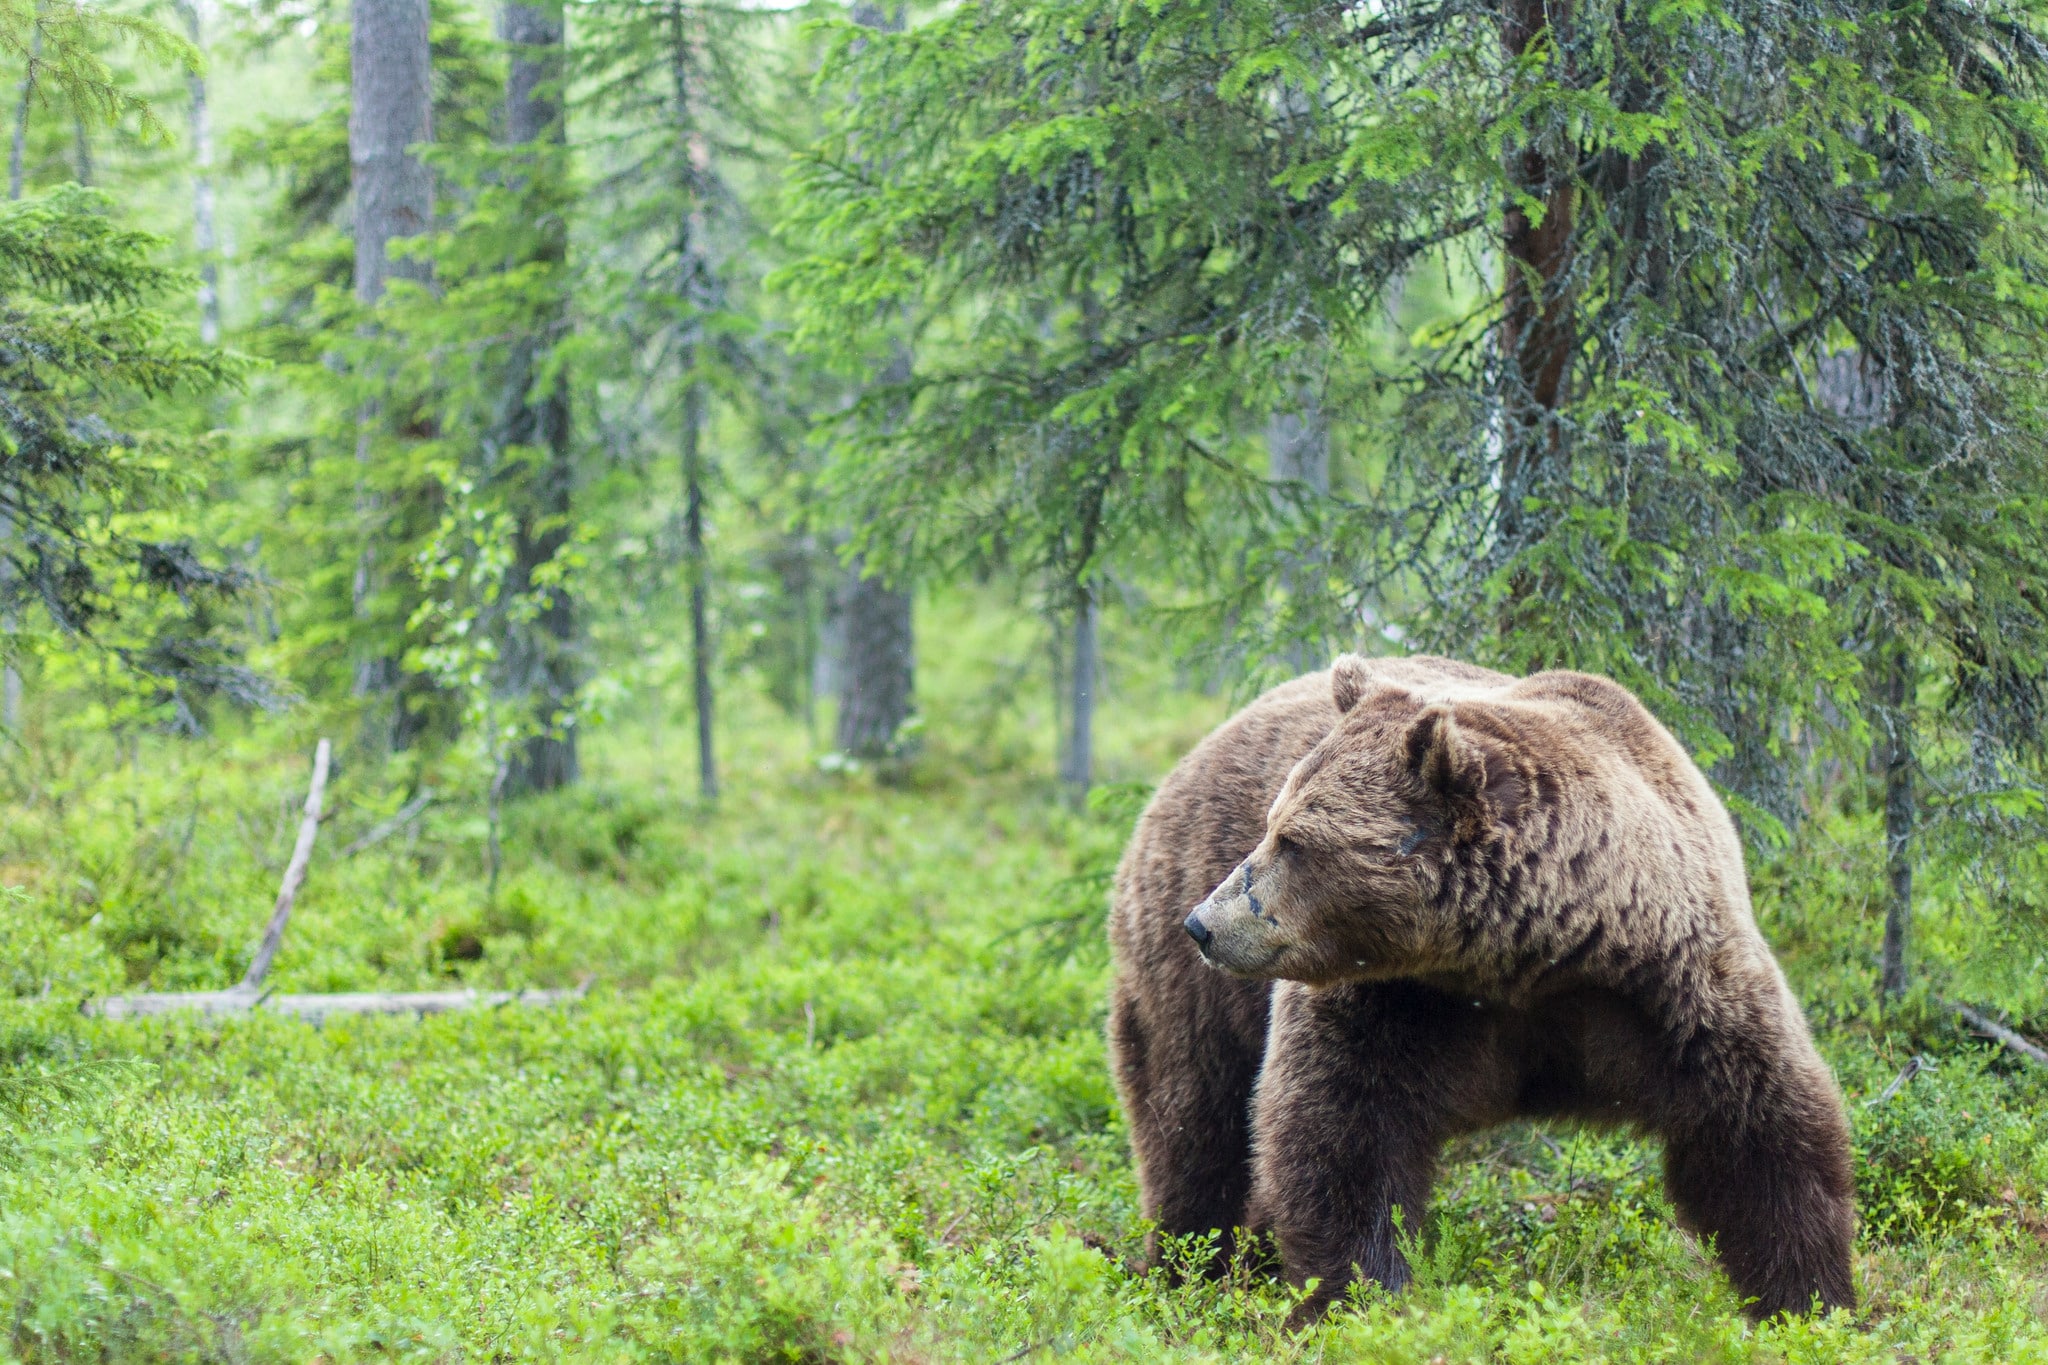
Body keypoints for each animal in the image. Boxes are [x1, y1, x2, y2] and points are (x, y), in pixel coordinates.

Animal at [1114, 654, 1867, 1317]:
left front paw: (1810, 1300)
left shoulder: (1671, 990)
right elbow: (1338, 1133)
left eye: (1295, 840)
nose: (1206, 924)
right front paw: (1356, 1297)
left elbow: (1756, 1130)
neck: (1523, 958)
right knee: (1193, 1120)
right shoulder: (1395, 1002)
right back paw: (1187, 1265)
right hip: (1190, 983)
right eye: (1272, 822)